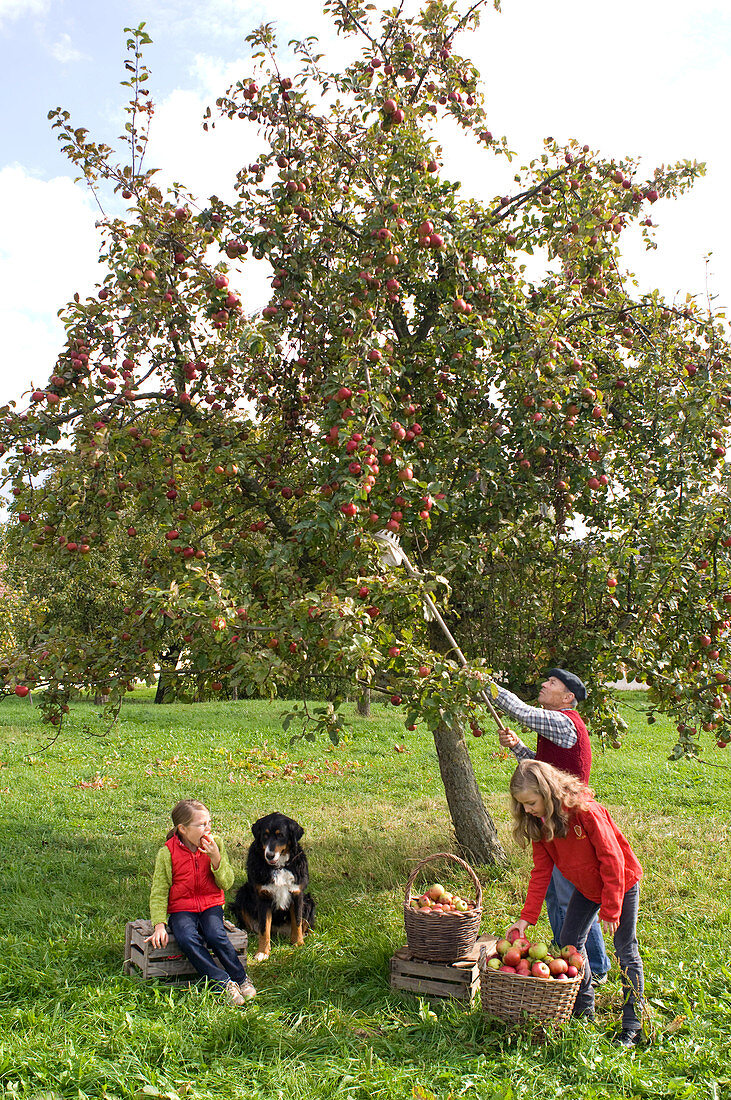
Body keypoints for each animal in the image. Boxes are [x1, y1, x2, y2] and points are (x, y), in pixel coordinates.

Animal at [229, 814, 314, 959]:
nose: (269, 855)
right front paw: (263, 952)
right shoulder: (264, 896)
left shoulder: (297, 894)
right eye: (265, 835)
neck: (279, 867)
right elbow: (264, 928)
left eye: (281, 835)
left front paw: (298, 943)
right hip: (243, 894)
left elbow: (297, 922)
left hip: (309, 902)